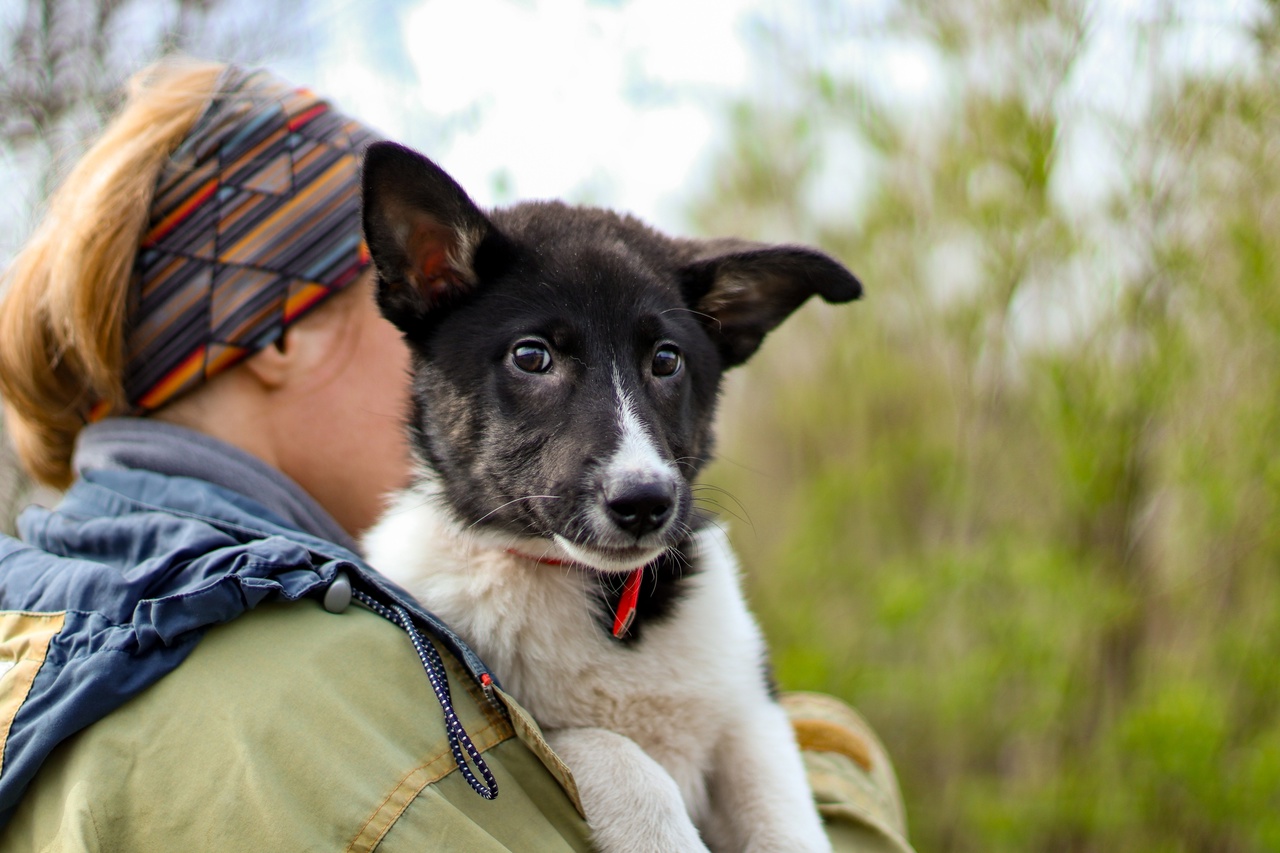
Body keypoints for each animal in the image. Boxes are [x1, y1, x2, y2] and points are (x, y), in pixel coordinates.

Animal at [360, 140, 860, 850]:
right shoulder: (518, 727)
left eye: (667, 360)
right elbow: (622, 760)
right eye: (531, 357)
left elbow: (786, 824)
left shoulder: (750, 713)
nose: (645, 503)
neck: (597, 592)